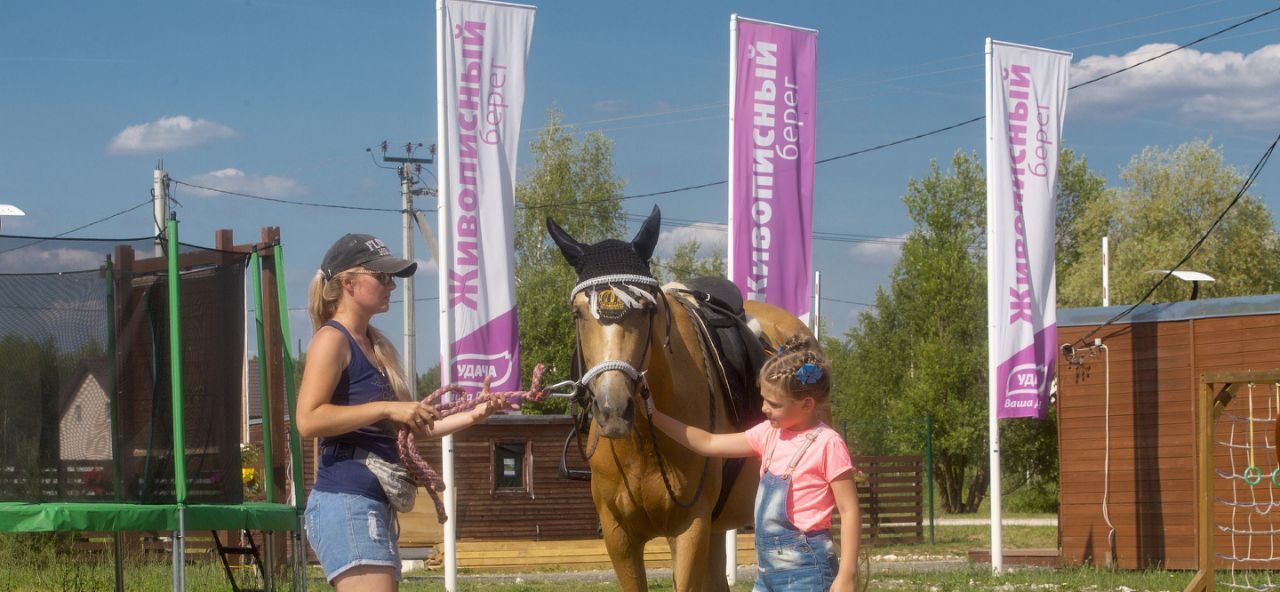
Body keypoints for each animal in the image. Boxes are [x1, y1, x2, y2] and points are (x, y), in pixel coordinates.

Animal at [547, 206, 808, 589]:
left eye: (647, 309)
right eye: (578, 313)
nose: (613, 409)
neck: (642, 445)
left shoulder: (690, 529)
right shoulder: (619, 537)